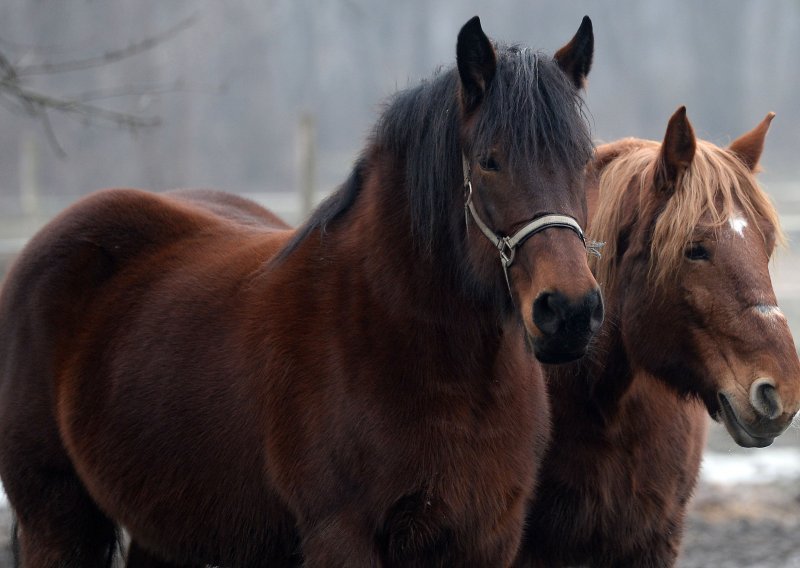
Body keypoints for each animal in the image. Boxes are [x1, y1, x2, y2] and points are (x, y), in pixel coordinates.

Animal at [0, 15, 600, 564]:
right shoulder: (342, 536)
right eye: (489, 161)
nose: (569, 311)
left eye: (585, 160)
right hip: (58, 520)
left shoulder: (488, 539)